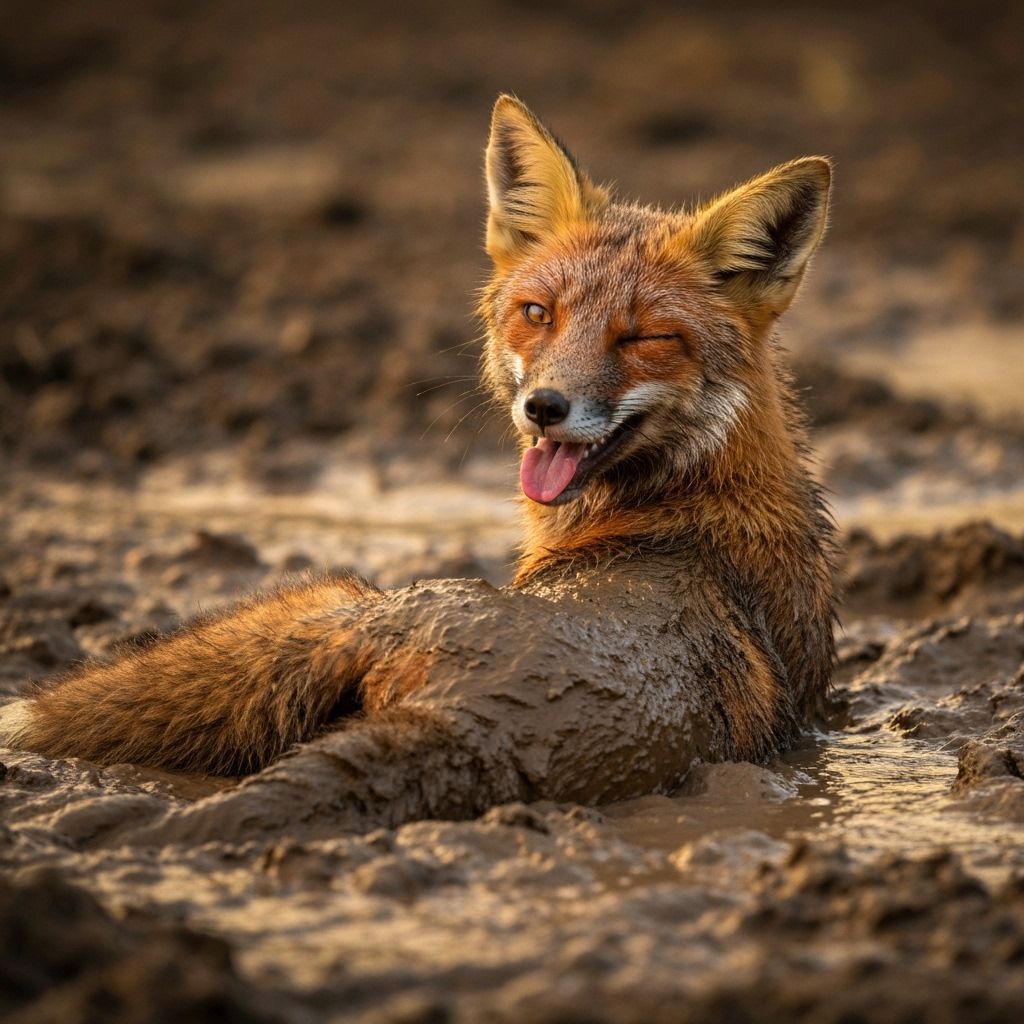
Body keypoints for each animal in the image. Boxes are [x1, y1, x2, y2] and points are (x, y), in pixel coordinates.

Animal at [0, 96, 836, 838]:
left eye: (645, 339)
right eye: (539, 314)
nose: (545, 407)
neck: (694, 492)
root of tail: (481, 723)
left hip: (326, 602)